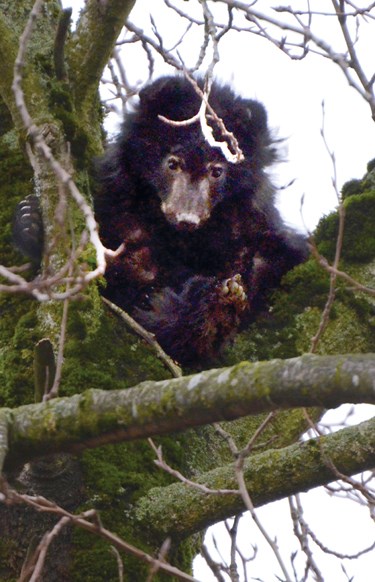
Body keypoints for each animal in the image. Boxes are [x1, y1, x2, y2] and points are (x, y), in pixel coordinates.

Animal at [95, 76, 310, 370]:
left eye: (217, 170)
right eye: (172, 163)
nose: (187, 219)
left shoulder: (251, 229)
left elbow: (278, 259)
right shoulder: (123, 222)